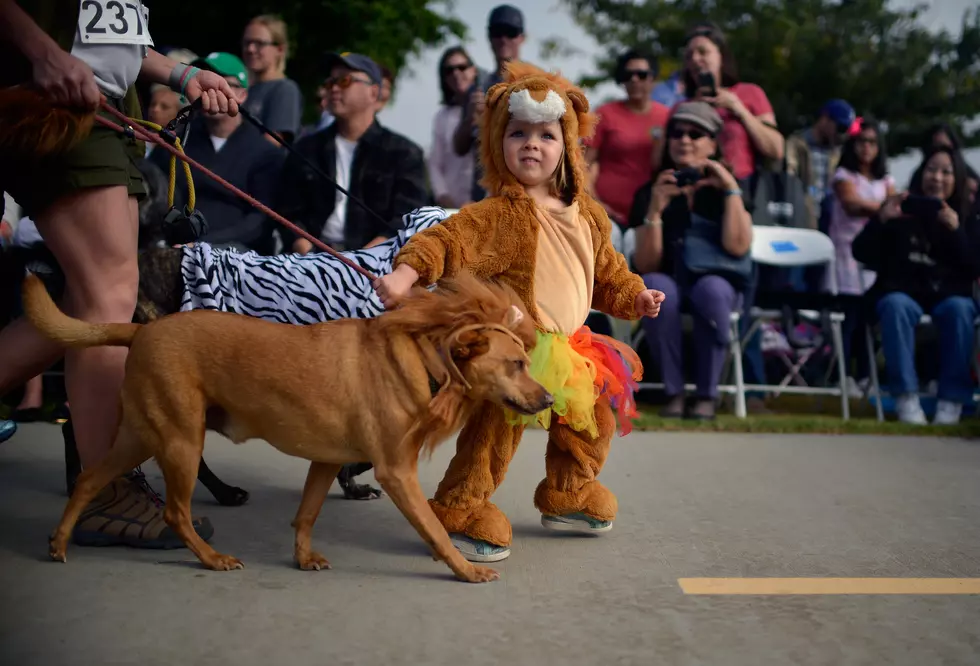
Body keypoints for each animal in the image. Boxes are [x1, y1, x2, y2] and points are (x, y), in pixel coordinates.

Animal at [23, 272, 556, 580]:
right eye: (515, 364)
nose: (550, 399)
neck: (425, 357)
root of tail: (143, 328)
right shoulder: (397, 472)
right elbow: (435, 531)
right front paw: (464, 568)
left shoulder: (326, 460)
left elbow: (306, 514)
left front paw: (302, 558)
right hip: (179, 442)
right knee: (175, 512)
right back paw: (211, 558)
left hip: (141, 436)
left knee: (89, 478)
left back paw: (58, 543)